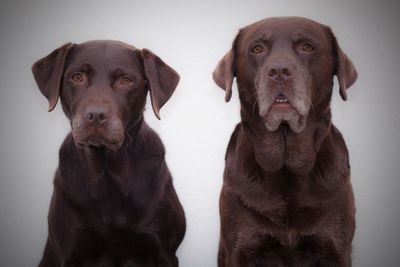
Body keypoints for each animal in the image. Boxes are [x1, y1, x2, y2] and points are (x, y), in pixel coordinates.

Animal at [32, 40, 186, 267]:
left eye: (126, 80)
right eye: (77, 77)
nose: (96, 115)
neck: (107, 174)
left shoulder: (163, 251)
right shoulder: (70, 251)